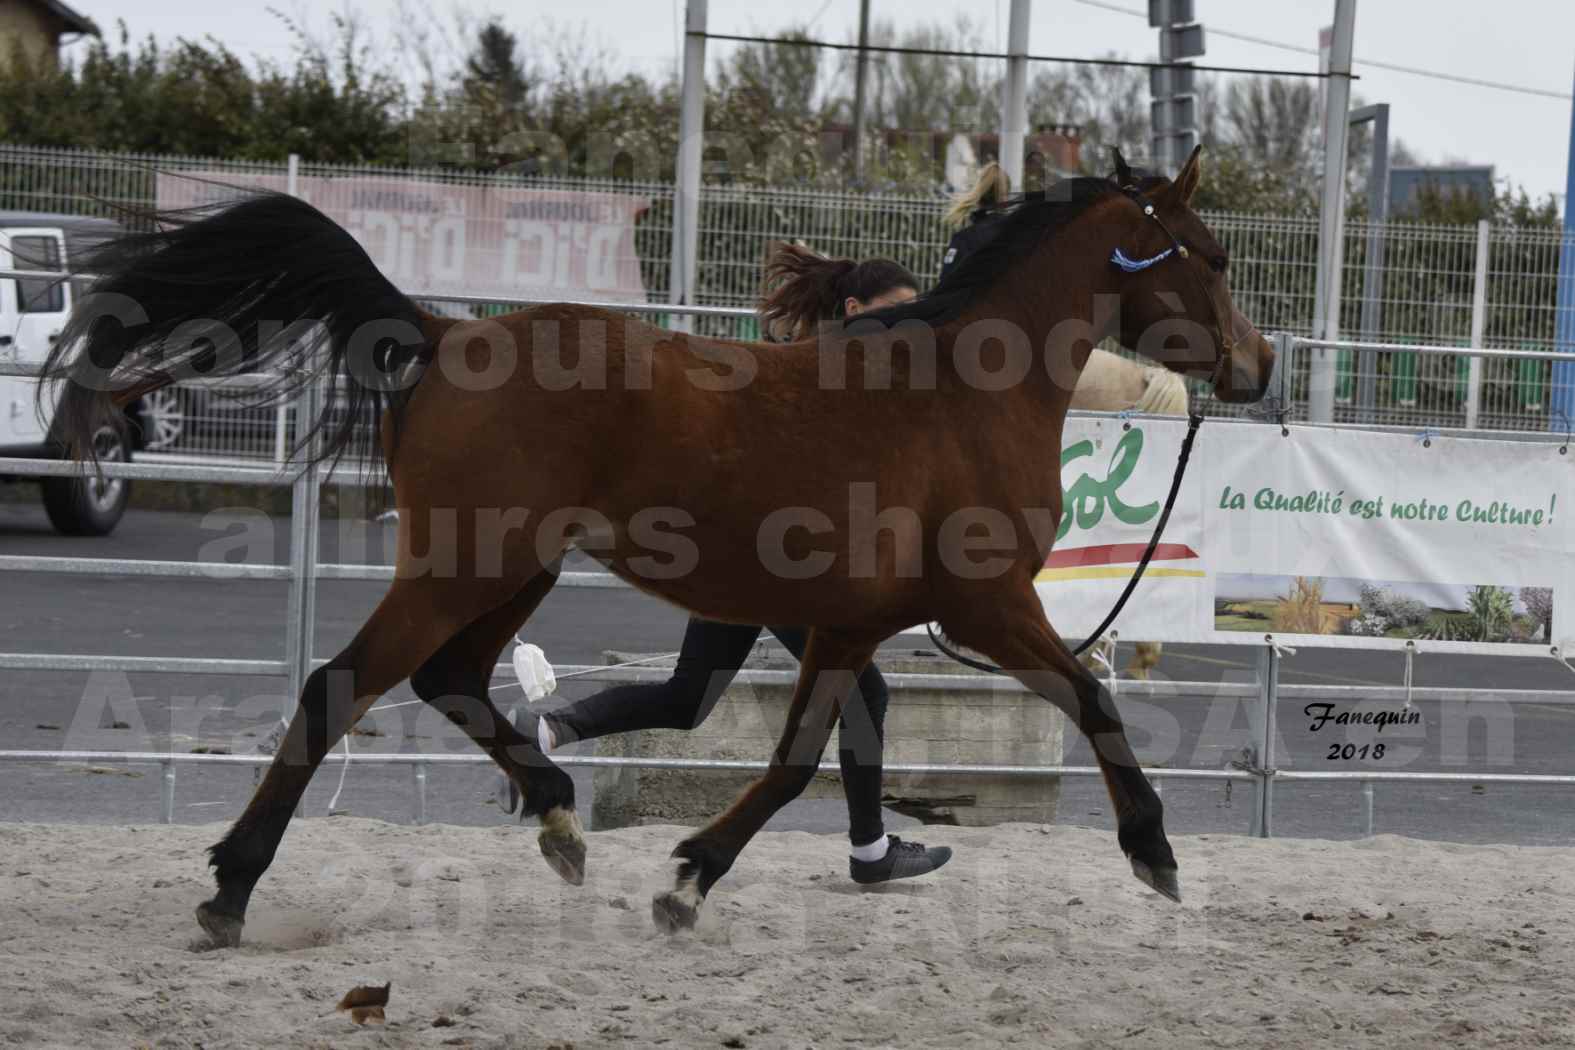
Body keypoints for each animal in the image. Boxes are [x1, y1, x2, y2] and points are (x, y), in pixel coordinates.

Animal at [43, 144, 1272, 938]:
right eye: (1209, 256)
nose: (1259, 367)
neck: (963, 396)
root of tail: (442, 332)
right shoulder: (986, 603)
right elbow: (1093, 699)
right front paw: (1156, 856)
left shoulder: (851, 625)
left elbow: (797, 760)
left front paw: (688, 880)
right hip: (463, 564)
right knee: (340, 685)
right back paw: (230, 888)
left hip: (514, 570)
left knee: (453, 680)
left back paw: (557, 818)